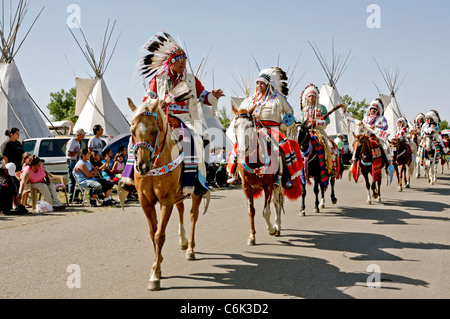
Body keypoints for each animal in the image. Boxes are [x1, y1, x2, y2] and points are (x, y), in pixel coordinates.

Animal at [128, 96, 206, 292]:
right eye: (132, 131)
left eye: (154, 130)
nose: (142, 166)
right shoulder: (145, 201)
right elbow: (153, 232)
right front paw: (158, 263)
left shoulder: (165, 200)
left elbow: (159, 235)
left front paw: (155, 274)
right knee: (181, 209)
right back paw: (183, 241)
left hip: (195, 194)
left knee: (193, 216)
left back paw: (190, 249)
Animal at [234, 104, 284, 245]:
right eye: (235, 126)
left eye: (250, 125)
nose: (242, 150)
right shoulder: (246, 186)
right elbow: (251, 211)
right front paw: (252, 236)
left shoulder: (268, 185)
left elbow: (266, 211)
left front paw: (272, 229)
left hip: (277, 184)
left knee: (278, 202)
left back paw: (278, 226)